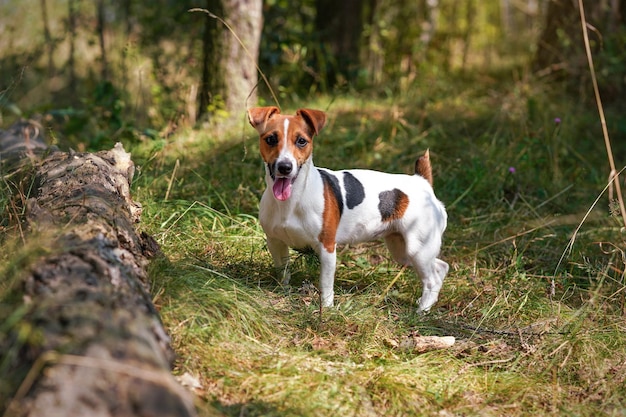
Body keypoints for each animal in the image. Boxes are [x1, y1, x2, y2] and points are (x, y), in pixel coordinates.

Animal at [246, 105, 446, 310]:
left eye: (301, 141)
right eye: (271, 139)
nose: (285, 167)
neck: (293, 199)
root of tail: (422, 182)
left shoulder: (326, 248)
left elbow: (325, 284)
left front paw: (326, 309)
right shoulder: (275, 242)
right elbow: (283, 272)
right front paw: (283, 292)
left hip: (418, 249)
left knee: (432, 279)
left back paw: (422, 309)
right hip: (403, 250)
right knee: (440, 267)